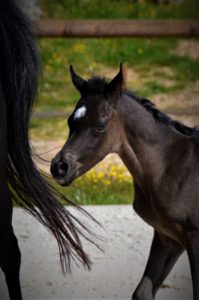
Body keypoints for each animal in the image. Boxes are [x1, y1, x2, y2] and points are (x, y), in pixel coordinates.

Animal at [51, 64, 199, 298]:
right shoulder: (168, 237)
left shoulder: (194, 237)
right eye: (69, 122)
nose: (59, 168)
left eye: (100, 126)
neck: (172, 166)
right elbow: (142, 292)